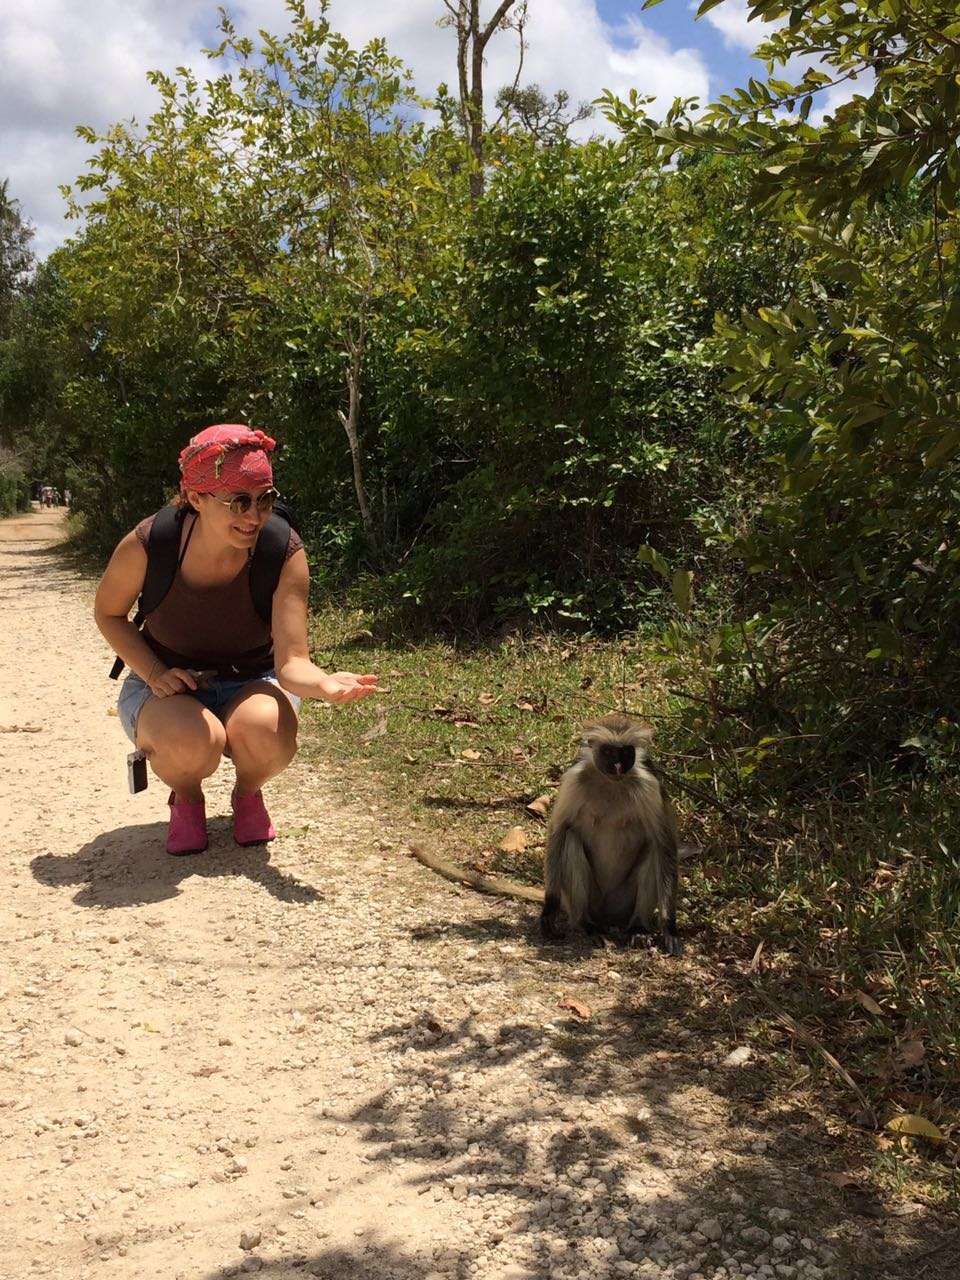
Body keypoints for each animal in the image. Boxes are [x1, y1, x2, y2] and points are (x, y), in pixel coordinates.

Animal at [542, 716, 686, 957]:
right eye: (609, 752)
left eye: (626, 752)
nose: (618, 766)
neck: (611, 782)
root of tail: (608, 917)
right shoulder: (574, 780)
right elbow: (558, 831)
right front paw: (549, 910)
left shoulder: (648, 785)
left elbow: (664, 844)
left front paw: (669, 927)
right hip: (590, 900)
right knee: (571, 840)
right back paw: (587, 925)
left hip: (623, 902)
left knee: (653, 849)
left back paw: (638, 928)